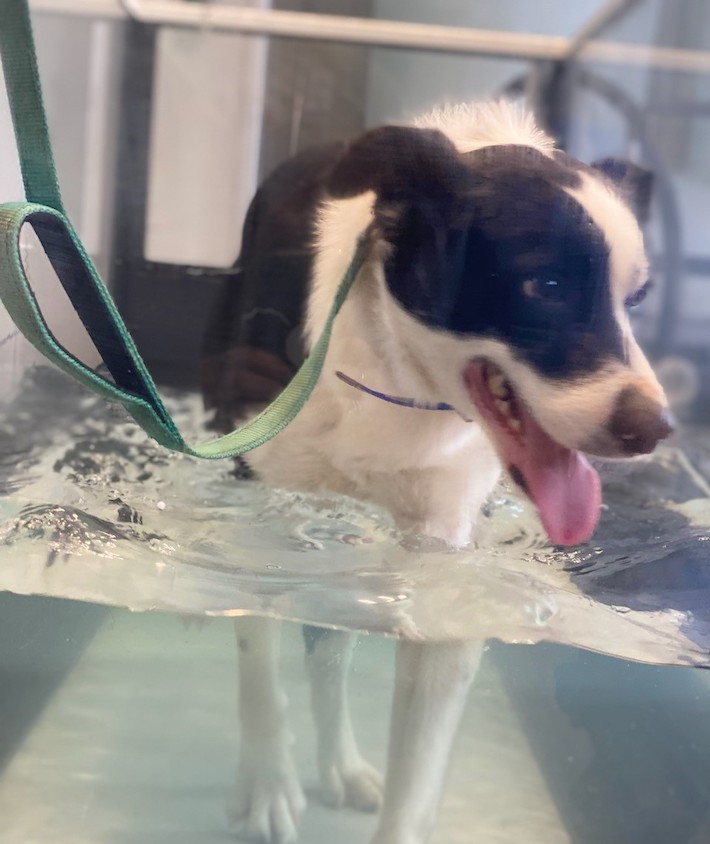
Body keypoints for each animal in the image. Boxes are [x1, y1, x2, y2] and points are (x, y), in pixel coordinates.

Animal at [203, 100, 676, 844]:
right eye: (545, 285)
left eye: (634, 301)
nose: (653, 429)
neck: (390, 374)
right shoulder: (258, 503)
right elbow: (259, 651)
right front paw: (267, 779)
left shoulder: (439, 561)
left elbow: (414, 766)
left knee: (330, 649)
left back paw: (341, 763)